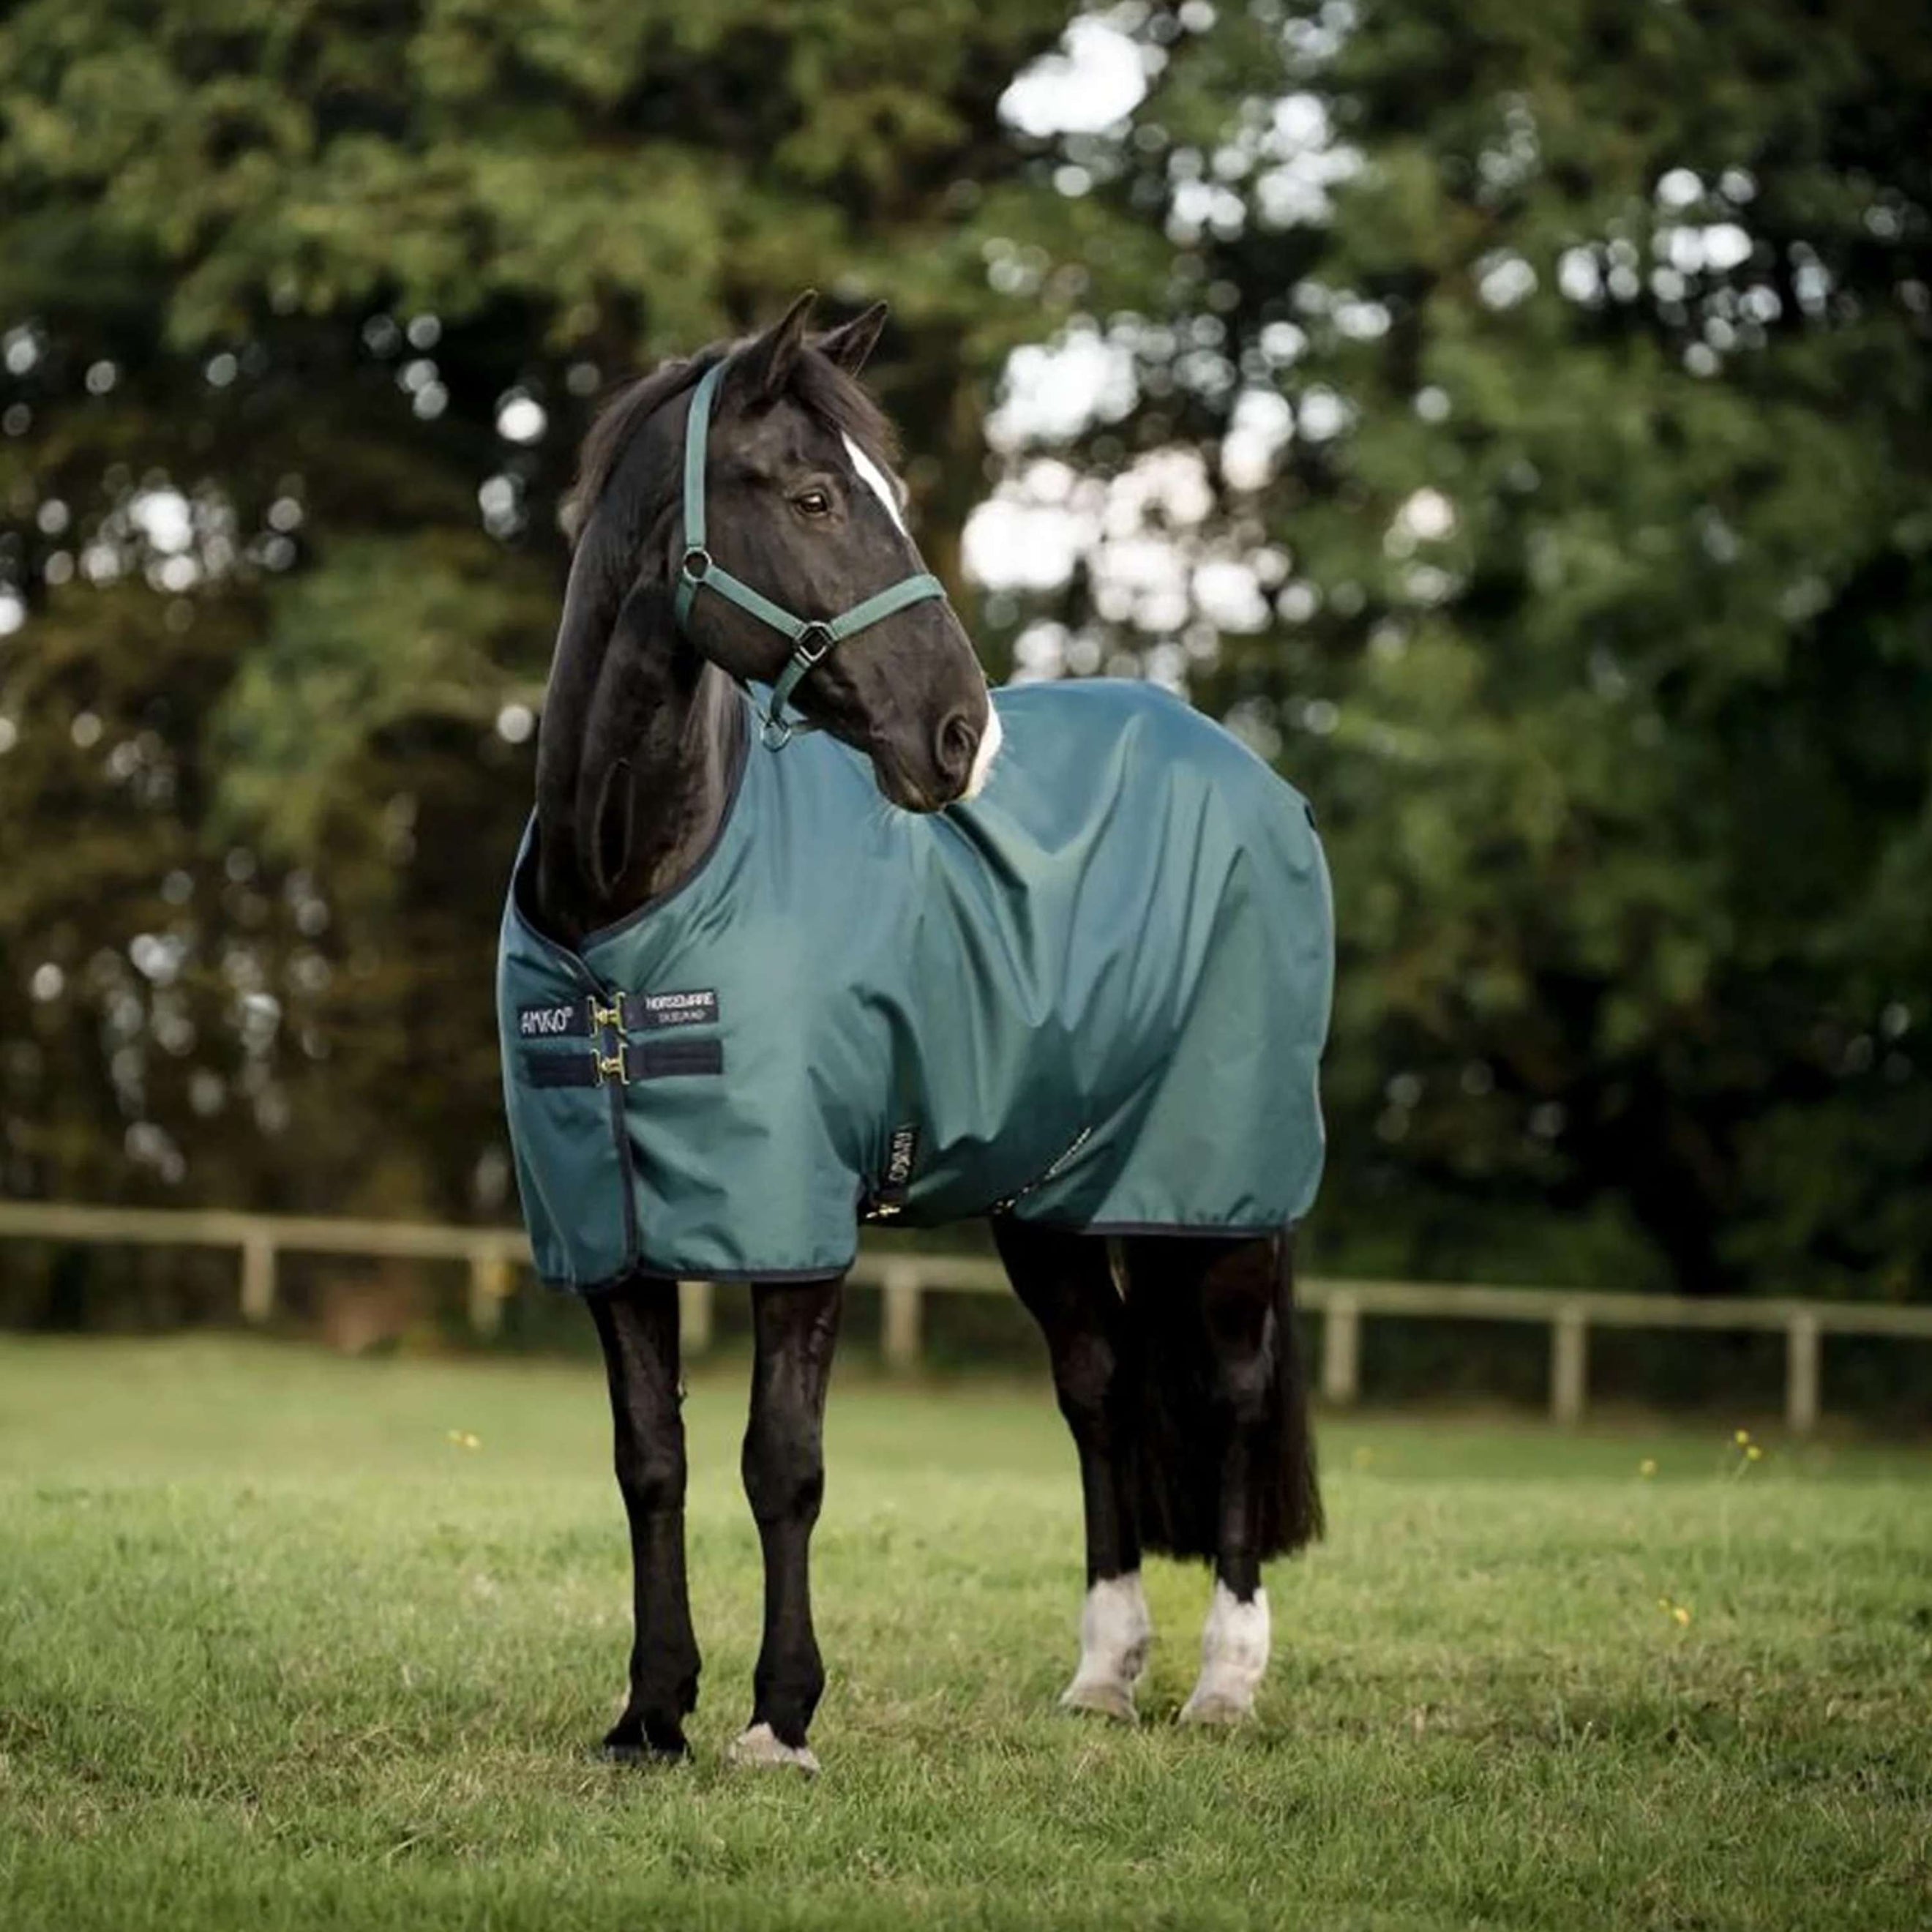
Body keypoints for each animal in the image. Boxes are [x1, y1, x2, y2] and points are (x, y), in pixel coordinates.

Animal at [500, 292, 1332, 1773]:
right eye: (817, 496)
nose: (962, 737)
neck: (627, 908)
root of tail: (1252, 775)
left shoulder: (797, 1229)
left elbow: (783, 1463)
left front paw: (779, 1719)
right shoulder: (610, 1236)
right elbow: (651, 1462)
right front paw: (651, 1713)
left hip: (1224, 1195)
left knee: (1233, 1397)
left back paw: (1226, 1681)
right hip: (1048, 1201)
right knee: (1099, 1387)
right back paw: (1104, 1673)